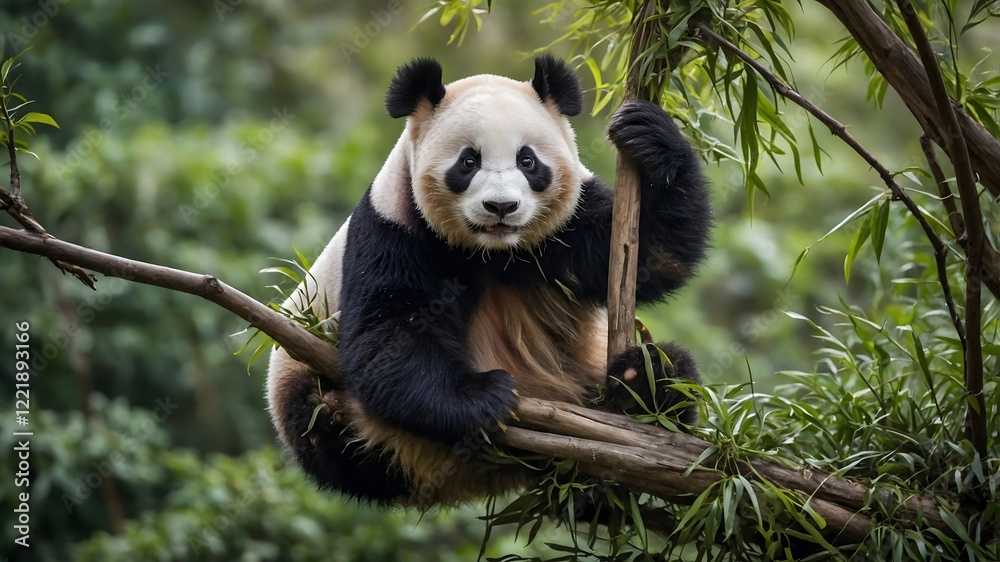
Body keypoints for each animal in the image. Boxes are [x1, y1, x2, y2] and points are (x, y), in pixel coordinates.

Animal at [266, 56, 711, 506]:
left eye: (527, 161)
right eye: (468, 161)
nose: (502, 206)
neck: (493, 250)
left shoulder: (569, 223)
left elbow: (651, 255)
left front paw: (648, 135)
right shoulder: (392, 227)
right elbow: (388, 332)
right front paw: (483, 395)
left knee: (674, 370)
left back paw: (645, 383)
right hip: (303, 388)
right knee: (327, 428)